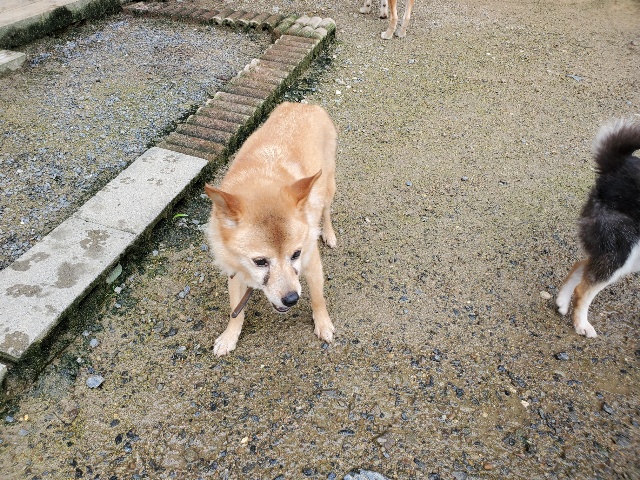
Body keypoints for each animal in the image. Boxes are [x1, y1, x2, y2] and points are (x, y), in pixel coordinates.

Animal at [204, 102, 338, 356]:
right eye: (260, 261)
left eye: (296, 254)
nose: (292, 299)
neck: (261, 179)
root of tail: (304, 105)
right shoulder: (236, 272)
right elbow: (235, 310)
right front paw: (229, 336)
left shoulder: (311, 262)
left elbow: (318, 298)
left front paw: (323, 323)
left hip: (327, 185)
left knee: (325, 211)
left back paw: (328, 233)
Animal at [556, 117, 640, 338]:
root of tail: (618, 164)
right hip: (622, 248)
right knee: (583, 288)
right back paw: (581, 324)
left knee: (581, 265)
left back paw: (561, 302)